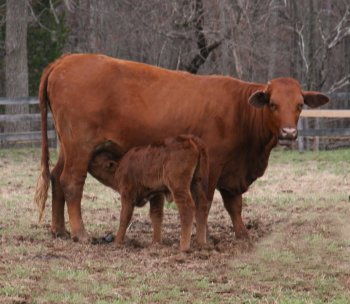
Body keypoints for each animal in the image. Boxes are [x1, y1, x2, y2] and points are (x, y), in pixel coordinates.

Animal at [34, 52, 330, 242]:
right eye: (273, 104)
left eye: (299, 105)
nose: (289, 133)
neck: (239, 111)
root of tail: (65, 60)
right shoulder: (213, 165)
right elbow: (206, 203)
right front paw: (203, 238)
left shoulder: (232, 171)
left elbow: (234, 204)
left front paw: (243, 234)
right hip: (80, 146)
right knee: (71, 182)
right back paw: (80, 233)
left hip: (67, 146)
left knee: (56, 178)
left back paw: (59, 230)